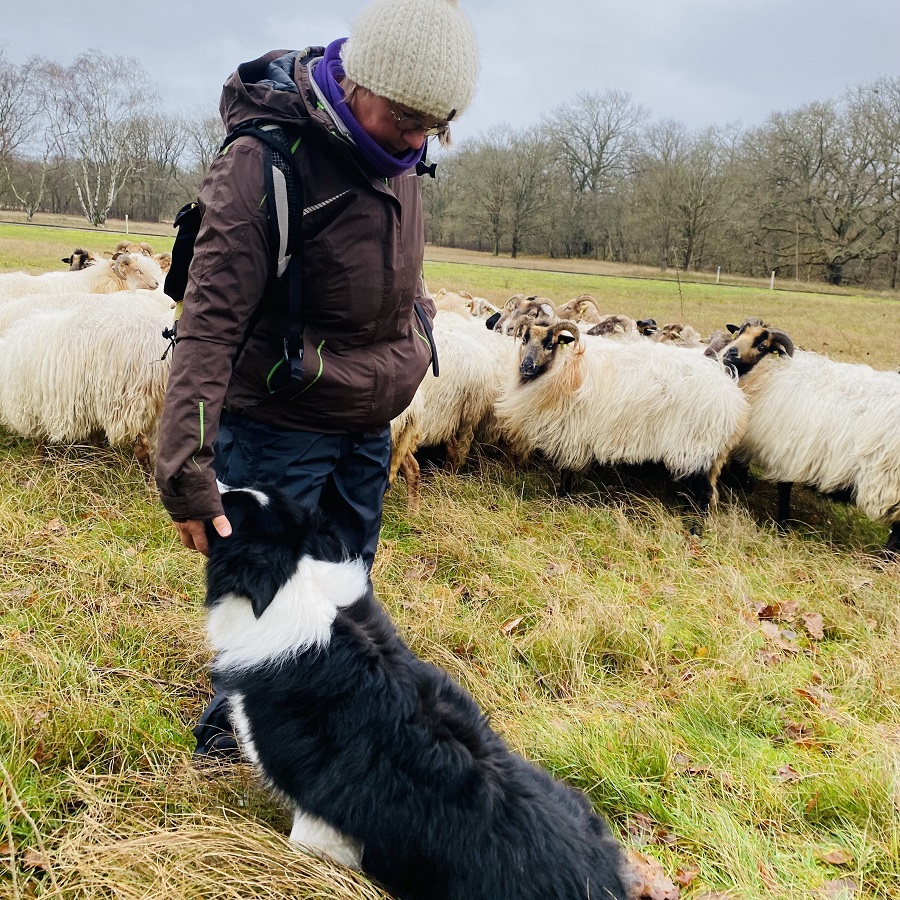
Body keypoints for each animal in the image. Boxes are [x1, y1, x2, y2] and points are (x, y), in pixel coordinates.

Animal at [0, 298, 174, 464]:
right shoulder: (89, 408)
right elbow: (96, 439)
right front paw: (101, 460)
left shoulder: (31, 411)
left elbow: (39, 443)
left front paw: (37, 465)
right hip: (157, 404)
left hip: (128, 403)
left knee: (143, 447)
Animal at [492, 318, 744, 512]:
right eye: (524, 340)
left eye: (550, 344)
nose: (526, 366)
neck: (565, 369)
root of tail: (731, 394)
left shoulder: (572, 434)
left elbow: (566, 474)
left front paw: (561, 499)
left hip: (695, 449)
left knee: (704, 495)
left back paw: (694, 531)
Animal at [720, 316, 900, 556]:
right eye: (738, 333)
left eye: (762, 345)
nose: (729, 354)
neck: (769, 375)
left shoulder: (786, 449)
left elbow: (784, 489)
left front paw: (783, 526)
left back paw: (882, 560)